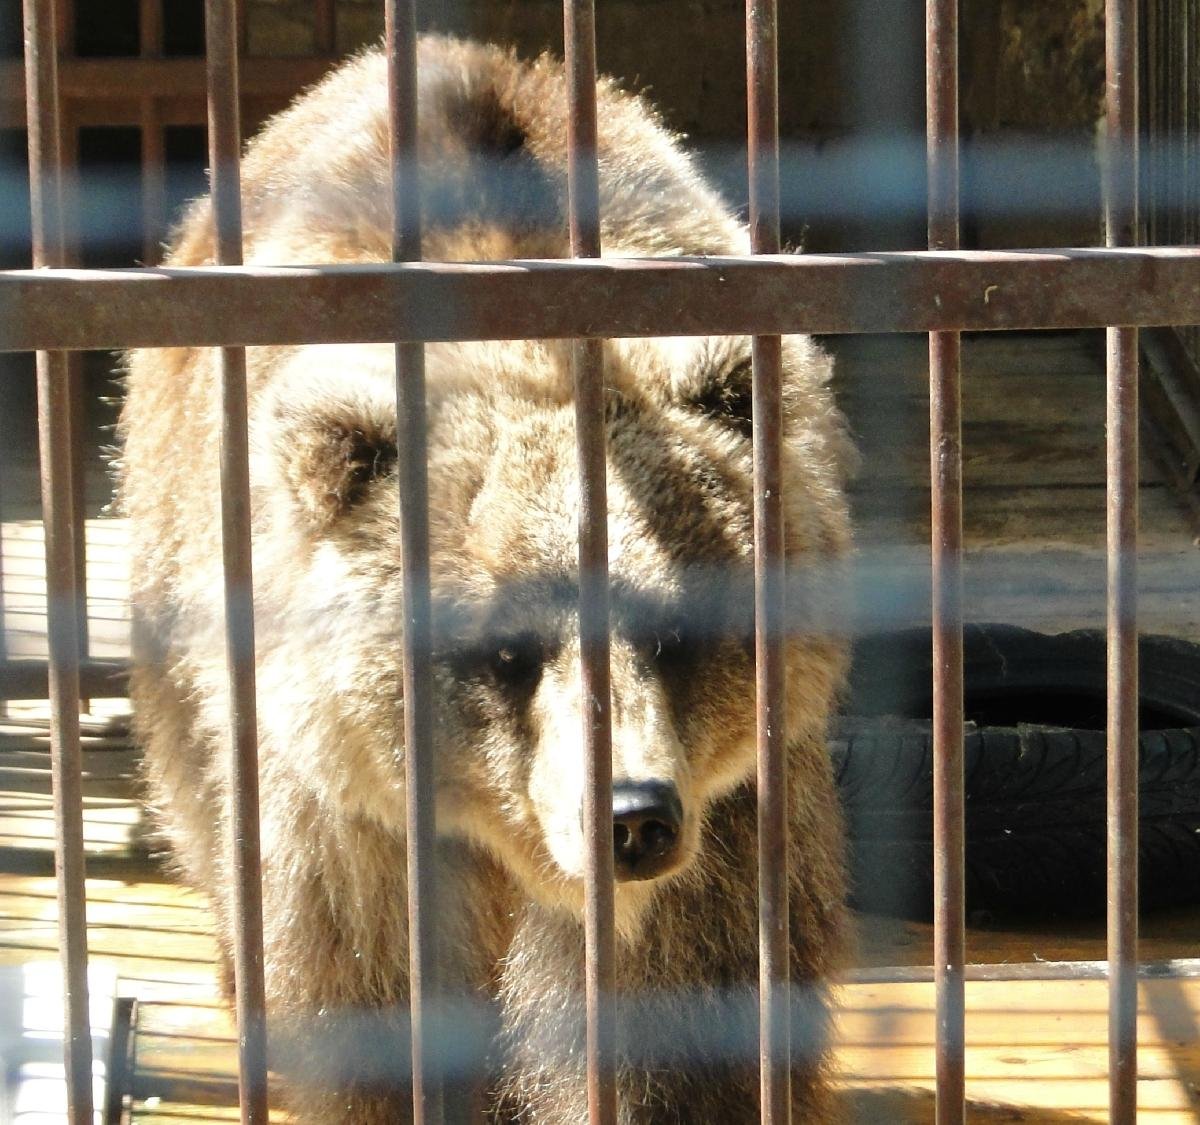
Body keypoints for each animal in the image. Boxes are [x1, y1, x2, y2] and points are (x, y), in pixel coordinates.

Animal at [119, 35, 854, 1122]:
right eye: (505, 645)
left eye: (677, 628)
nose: (632, 816)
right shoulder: (355, 821)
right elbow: (372, 1004)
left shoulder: (730, 813)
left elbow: (688, 1026)